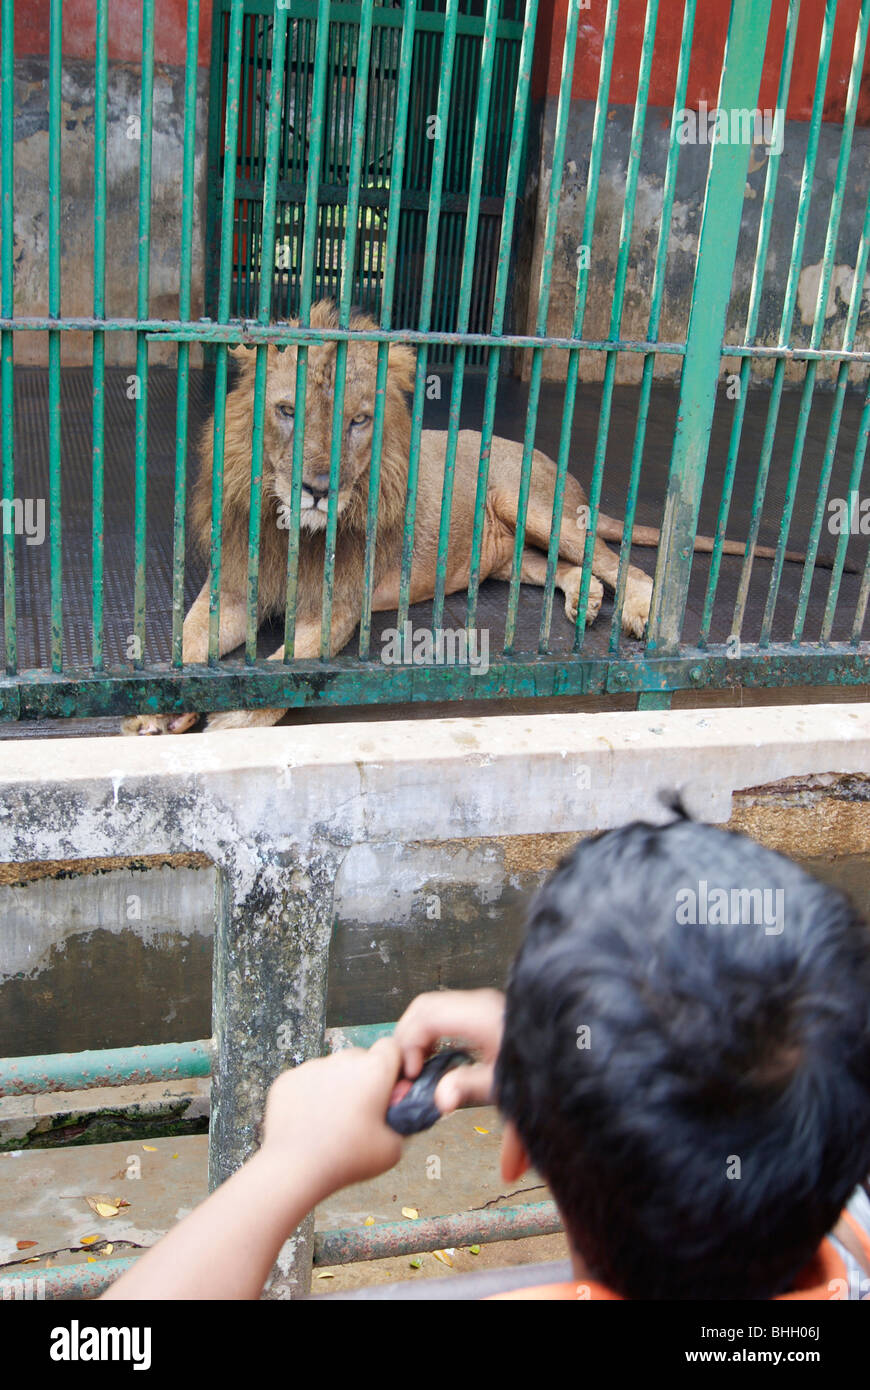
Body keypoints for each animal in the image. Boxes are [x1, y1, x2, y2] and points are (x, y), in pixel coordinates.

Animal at [122, 297, 800, 733]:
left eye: (359, 421)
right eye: (287, 411)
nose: (316, 488)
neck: (293, 532)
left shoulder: (334, 609)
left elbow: (281, 674)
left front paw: (223, 720)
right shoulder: (231, 591)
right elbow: (184, 645)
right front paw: (156, 706)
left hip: (533, 506)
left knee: (623, 564)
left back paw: (634, 609)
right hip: (505, 558)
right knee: (560, 571)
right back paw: (583, 602)